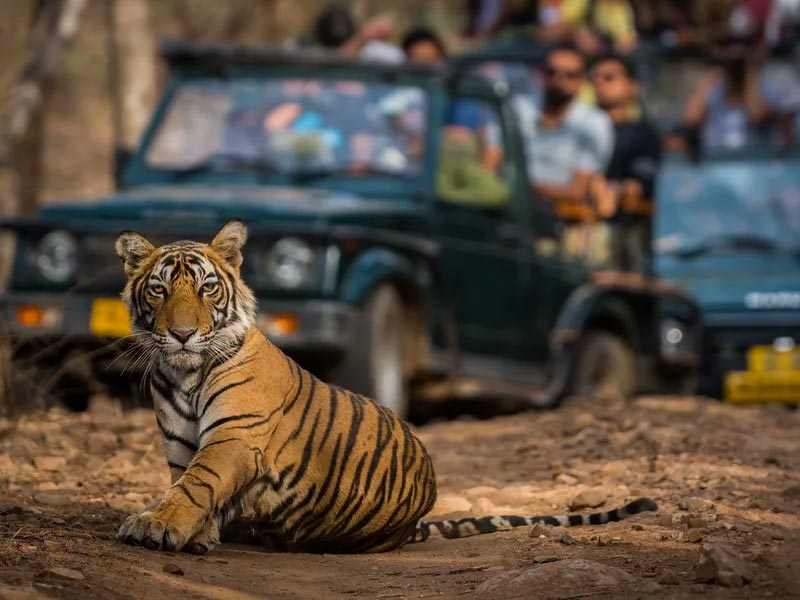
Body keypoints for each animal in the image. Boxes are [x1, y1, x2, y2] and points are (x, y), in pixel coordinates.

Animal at [115, 219, 660, 552]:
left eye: (207, 288)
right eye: (159, 289)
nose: (182, 334)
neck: (183, 373)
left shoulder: (235, 436)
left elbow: (196, 485)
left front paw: (155, 525)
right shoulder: (181, 444)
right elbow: (186, 484)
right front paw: (192, 532)